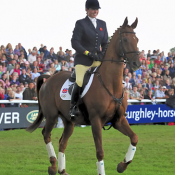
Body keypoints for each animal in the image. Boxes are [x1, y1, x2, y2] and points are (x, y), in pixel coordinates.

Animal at [28, 18, 142, 175]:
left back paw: (62, 170)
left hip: (69, 121)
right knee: (46, 135)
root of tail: (49, 78)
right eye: (124, 39)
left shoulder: (118, 120)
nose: (137, 63)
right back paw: (53, 166)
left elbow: (134, 138)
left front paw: (122, 165)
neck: (110, 83)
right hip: (51, 116)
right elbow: (100, 152)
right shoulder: (96, 121)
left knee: (62, 143)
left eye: (137, 39)